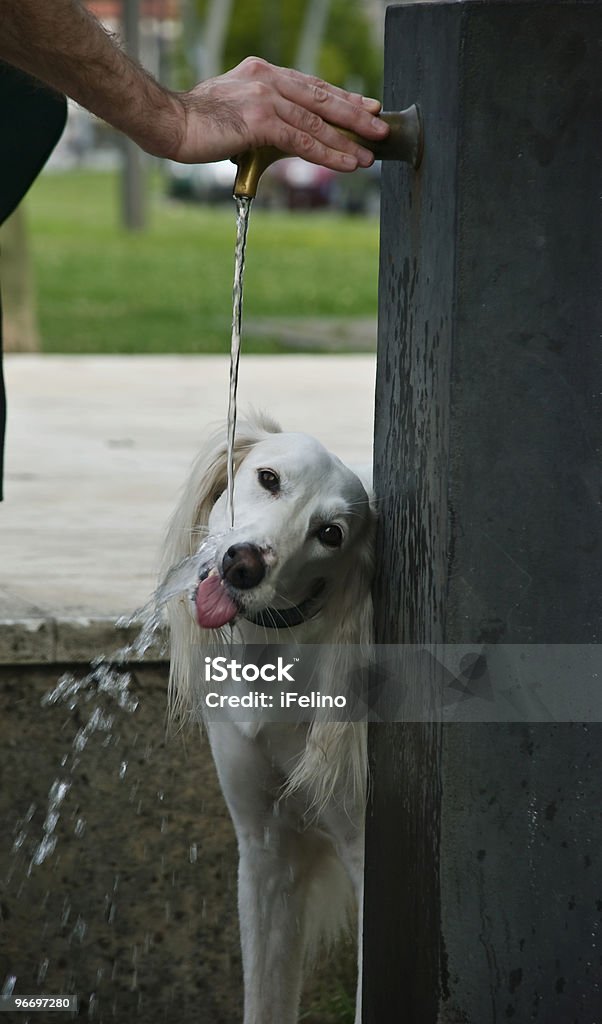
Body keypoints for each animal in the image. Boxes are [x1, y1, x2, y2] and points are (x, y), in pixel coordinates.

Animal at [161, 413, 374, 1024]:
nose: (244, 565)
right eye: (269, 478)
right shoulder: (266, 847)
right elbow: (265, 996)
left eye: (331, 534)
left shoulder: (367, 855)